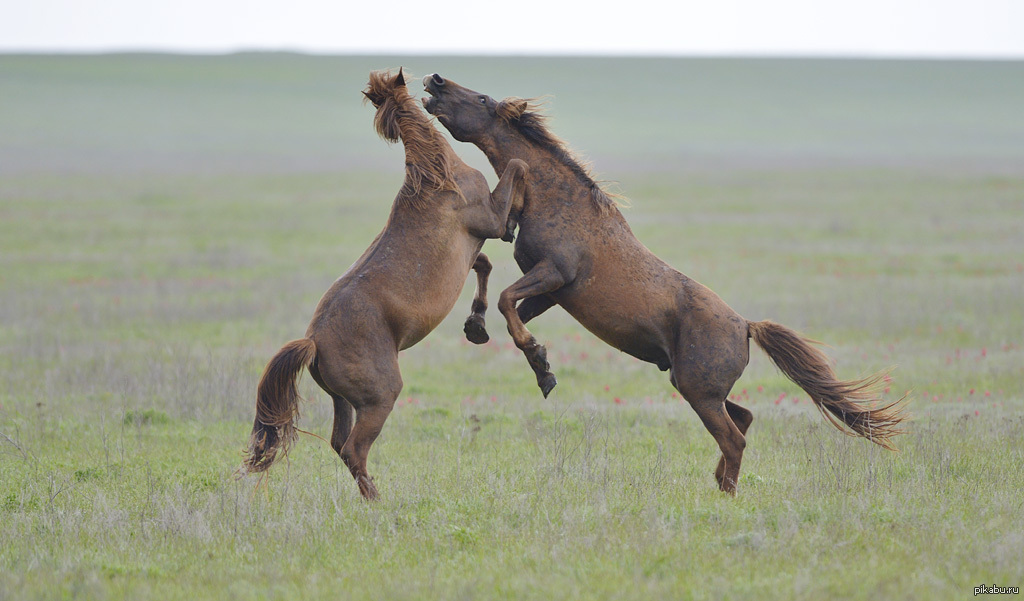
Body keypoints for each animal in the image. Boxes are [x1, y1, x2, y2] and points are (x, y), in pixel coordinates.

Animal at [240, 69, 528, 497]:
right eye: (480, 99)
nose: (436, 79)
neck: (439, 178)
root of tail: (314, 343)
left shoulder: (472, 248)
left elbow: (485, 264)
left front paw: (476, 326)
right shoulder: (487, 219)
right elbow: (517, 167)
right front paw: (513, 226)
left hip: (343, 400)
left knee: (339, 443)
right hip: (380, 399)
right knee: (355, 448)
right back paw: (378, 500)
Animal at [421, 74, 905, 493]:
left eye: (483, 98)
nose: (434, 81)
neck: (556, 199)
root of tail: (746, 327)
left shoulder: (554, 274)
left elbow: (507, 302)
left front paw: (537, 363)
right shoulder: (553, 292)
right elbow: (510, 310)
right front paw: (526, 357)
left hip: (699, 392)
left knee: (735, 437)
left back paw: (726, 495)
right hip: (697, 388)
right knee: (744, 418)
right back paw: (718, 483)